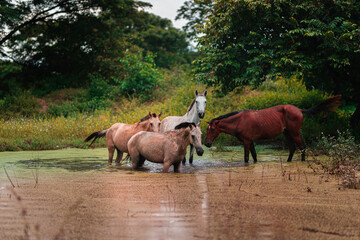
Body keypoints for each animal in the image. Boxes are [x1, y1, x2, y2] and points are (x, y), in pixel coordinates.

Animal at [204, 95, 342, 163]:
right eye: (207, 129)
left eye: (212, 129)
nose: (207, 143)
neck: (239, 121)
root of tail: (299, 109)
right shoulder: (250, 141)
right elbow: (254, 156)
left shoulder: (247, 141)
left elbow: (247, 158)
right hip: (287, 134)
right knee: (293, 149)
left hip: (294, 133)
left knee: (302, 147)